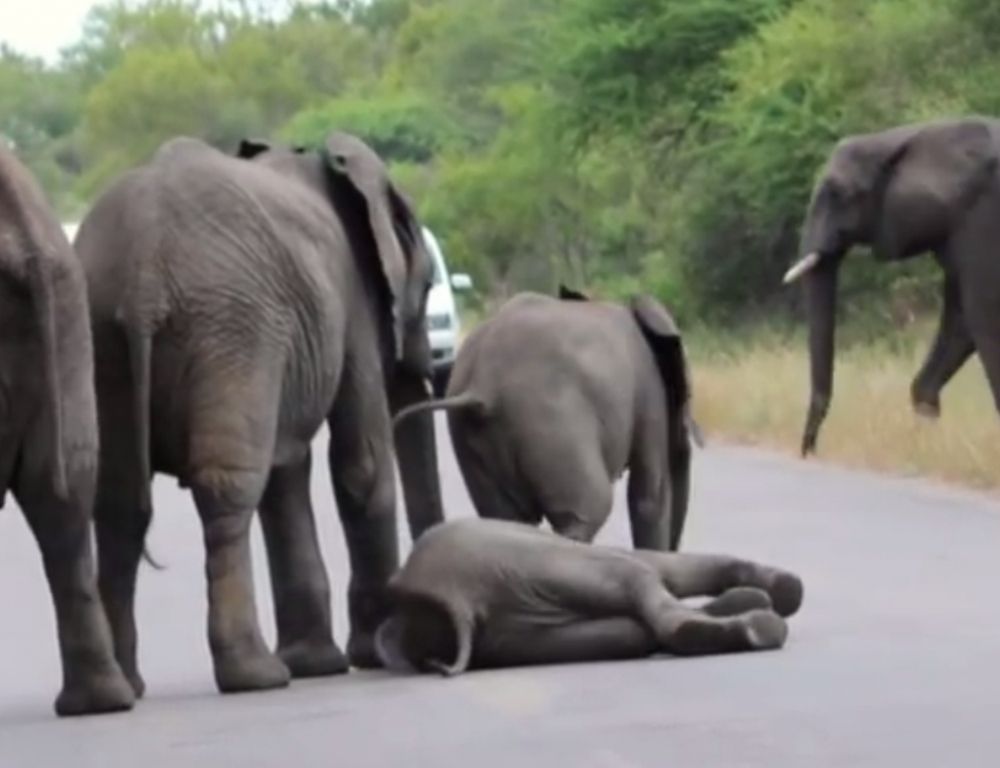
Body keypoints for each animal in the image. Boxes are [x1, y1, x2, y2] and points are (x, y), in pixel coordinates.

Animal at [72, 132, 444, 697]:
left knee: (117, 504)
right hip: (231, 328)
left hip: (101, 332)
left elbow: (286, 472)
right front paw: (372, 657)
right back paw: (256, 675)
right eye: (426, 289)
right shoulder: (351, 300)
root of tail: (142, 277)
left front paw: (319, 664)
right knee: (225, 492)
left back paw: (131, 686)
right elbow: (362, 464)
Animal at [375, 518, 803, 675]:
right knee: (643, 584)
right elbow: (658, 570)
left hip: (514, 634)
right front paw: (776, 594)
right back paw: (766, 622)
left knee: (634, 631)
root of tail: (455, 598)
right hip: (524, 562)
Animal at [394, 286, 699, 551]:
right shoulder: (650, 392)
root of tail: (483, 383)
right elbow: (649, 495)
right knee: (588, 509)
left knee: (506, 519)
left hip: (472, 437)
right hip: (554, 422)